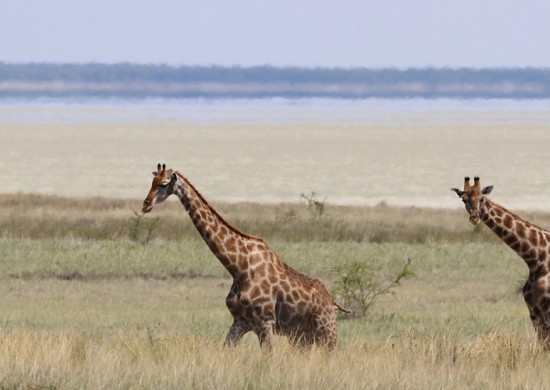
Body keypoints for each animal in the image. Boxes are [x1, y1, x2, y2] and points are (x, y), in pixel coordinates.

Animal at [141, 163, 350, 348]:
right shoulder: (240, 322)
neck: (238, 267)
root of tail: (332, 302)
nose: (145, 205)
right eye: (152, 181)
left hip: (326, 332)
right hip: (301, 337)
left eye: (163, 184)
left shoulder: (265, 322)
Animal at [454, 176, 550, 344]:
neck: (536, 258)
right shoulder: (534, 311)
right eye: (464, 199)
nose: (475, 218)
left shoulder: (547, 309)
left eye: (482, 198)